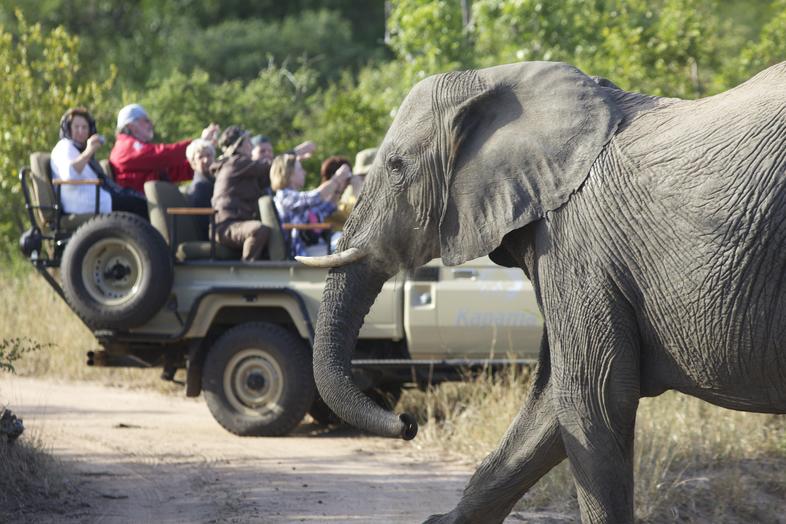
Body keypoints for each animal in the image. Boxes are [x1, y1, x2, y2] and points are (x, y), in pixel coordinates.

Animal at [298, 60, 784, 520]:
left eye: (397, 167)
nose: (408, 423)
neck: (497, 81)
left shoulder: (580, 247)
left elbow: (590, 397)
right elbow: (550, 408)